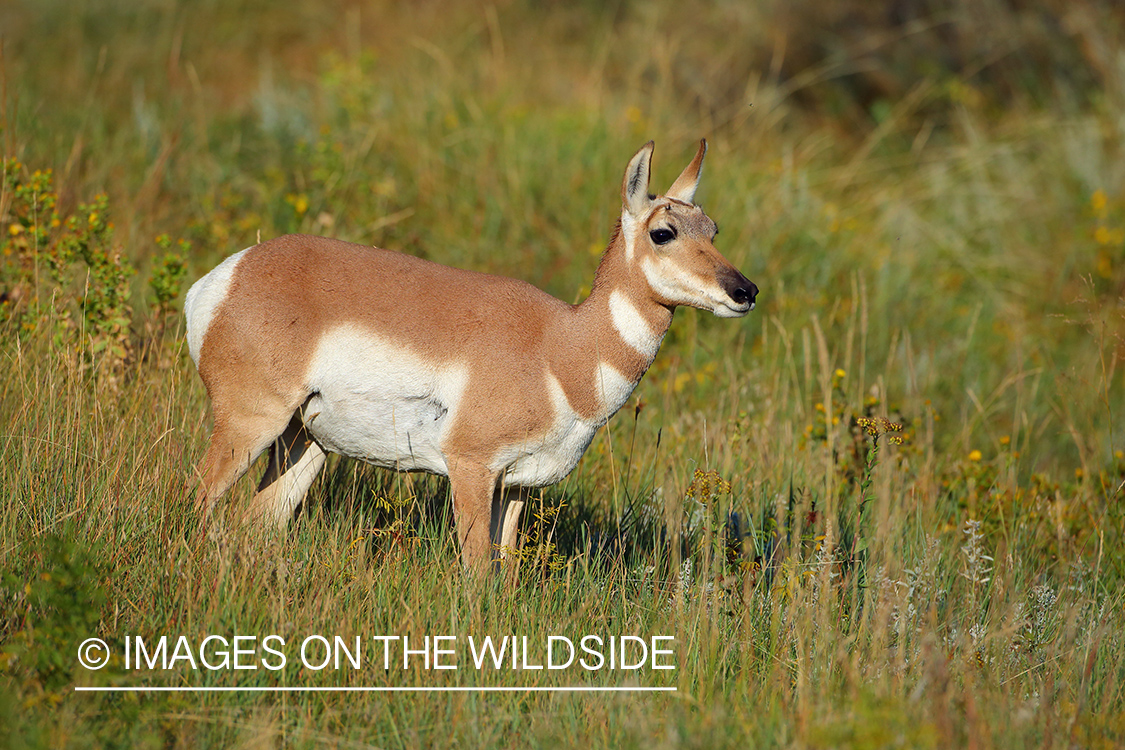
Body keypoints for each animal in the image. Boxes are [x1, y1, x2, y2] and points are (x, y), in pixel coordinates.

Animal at [186, 137, 756, 566]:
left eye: (714, 230)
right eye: (663, 232)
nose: (745, 291)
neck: (561, 347)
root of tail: (230, 273)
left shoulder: (518, 485)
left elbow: (504, 574)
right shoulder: (470, 466)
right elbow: (478, 573)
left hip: (307, 442)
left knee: (254, 523)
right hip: (251, 423)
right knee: (198, 501)